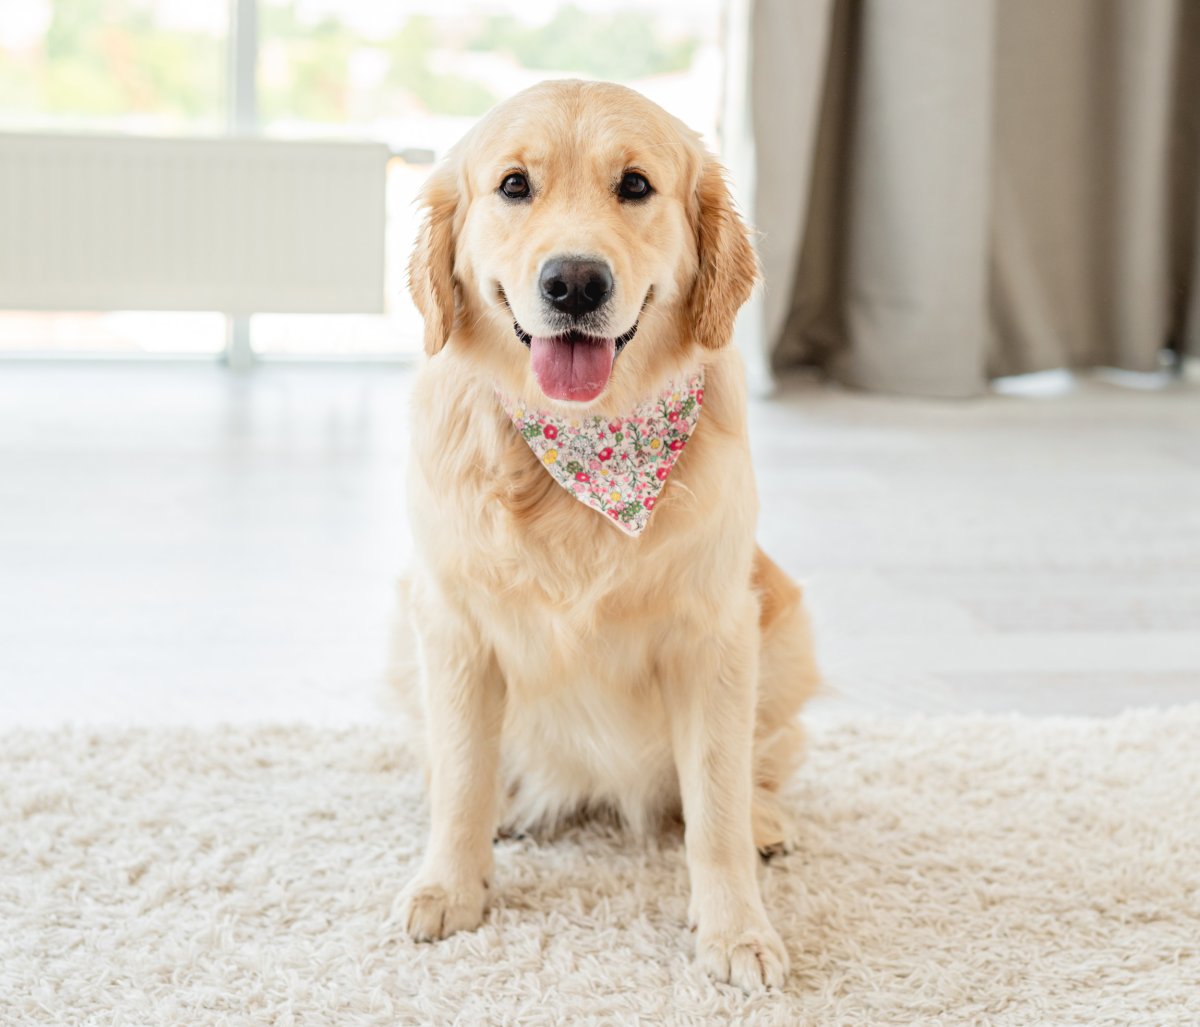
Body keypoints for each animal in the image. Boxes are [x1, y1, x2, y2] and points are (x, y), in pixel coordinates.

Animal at [393, 76, 816, 988]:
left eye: (635, 185)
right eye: (515, 186)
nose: (576, 282)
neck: (583, 448)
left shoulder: (716, 633)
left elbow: (715, 802)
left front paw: (737, 930)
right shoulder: (453, 624)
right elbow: (462, 772)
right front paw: (451, 885)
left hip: (785, 628)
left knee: (755, 767)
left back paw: (765, 821)